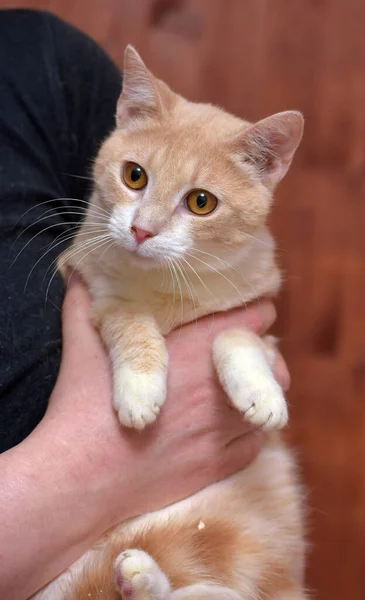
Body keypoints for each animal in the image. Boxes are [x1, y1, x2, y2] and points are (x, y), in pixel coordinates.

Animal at [32, 48, 304, 600]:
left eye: (201, 202)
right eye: (134, 175)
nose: (141, 230)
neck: (167, 287)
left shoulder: (259, 316)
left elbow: (234, 334)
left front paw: (260, 393)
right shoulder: (92, 287)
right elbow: (129, 320)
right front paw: (140, 389)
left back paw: (143, 576)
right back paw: (138, 574)